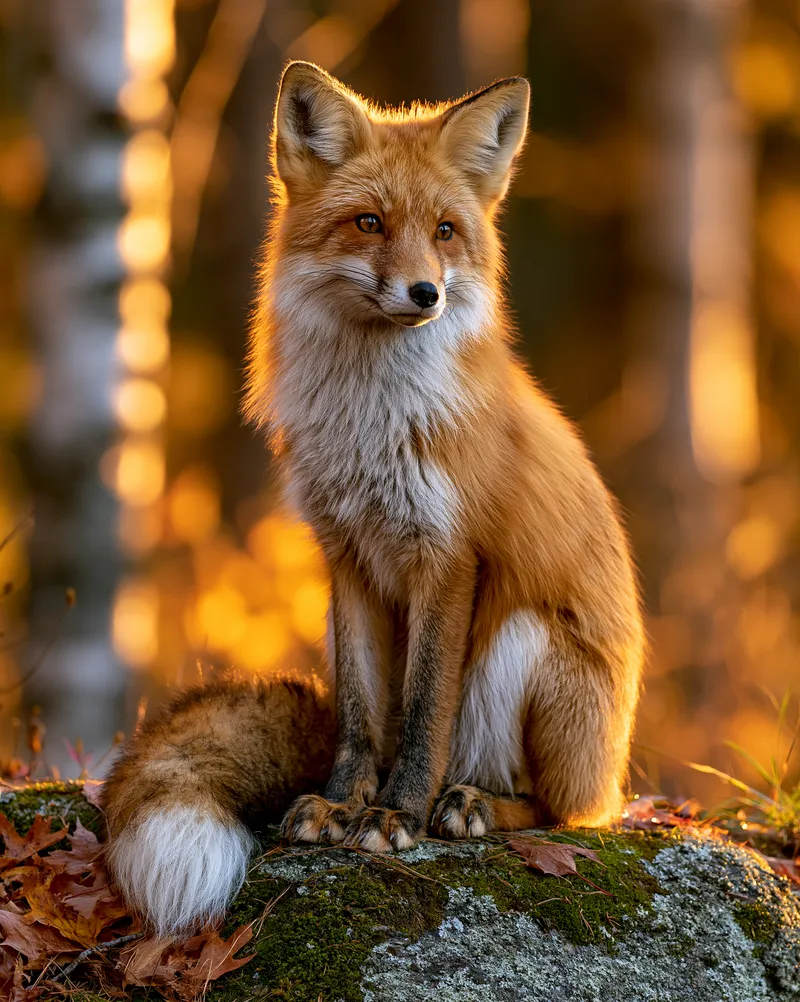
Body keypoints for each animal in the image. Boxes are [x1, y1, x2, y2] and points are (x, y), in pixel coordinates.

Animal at [103, 61, 644, 938]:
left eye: (447, 231)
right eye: (369, 223)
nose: (425, 293)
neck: (371, 423)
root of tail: (615, 769)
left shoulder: (447, 557)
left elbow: (424, 714)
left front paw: (397, 816)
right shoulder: (346, 555)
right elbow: (361, 716)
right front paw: (342, 804)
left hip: (528, 647)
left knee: (561, 810)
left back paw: (474, 807)